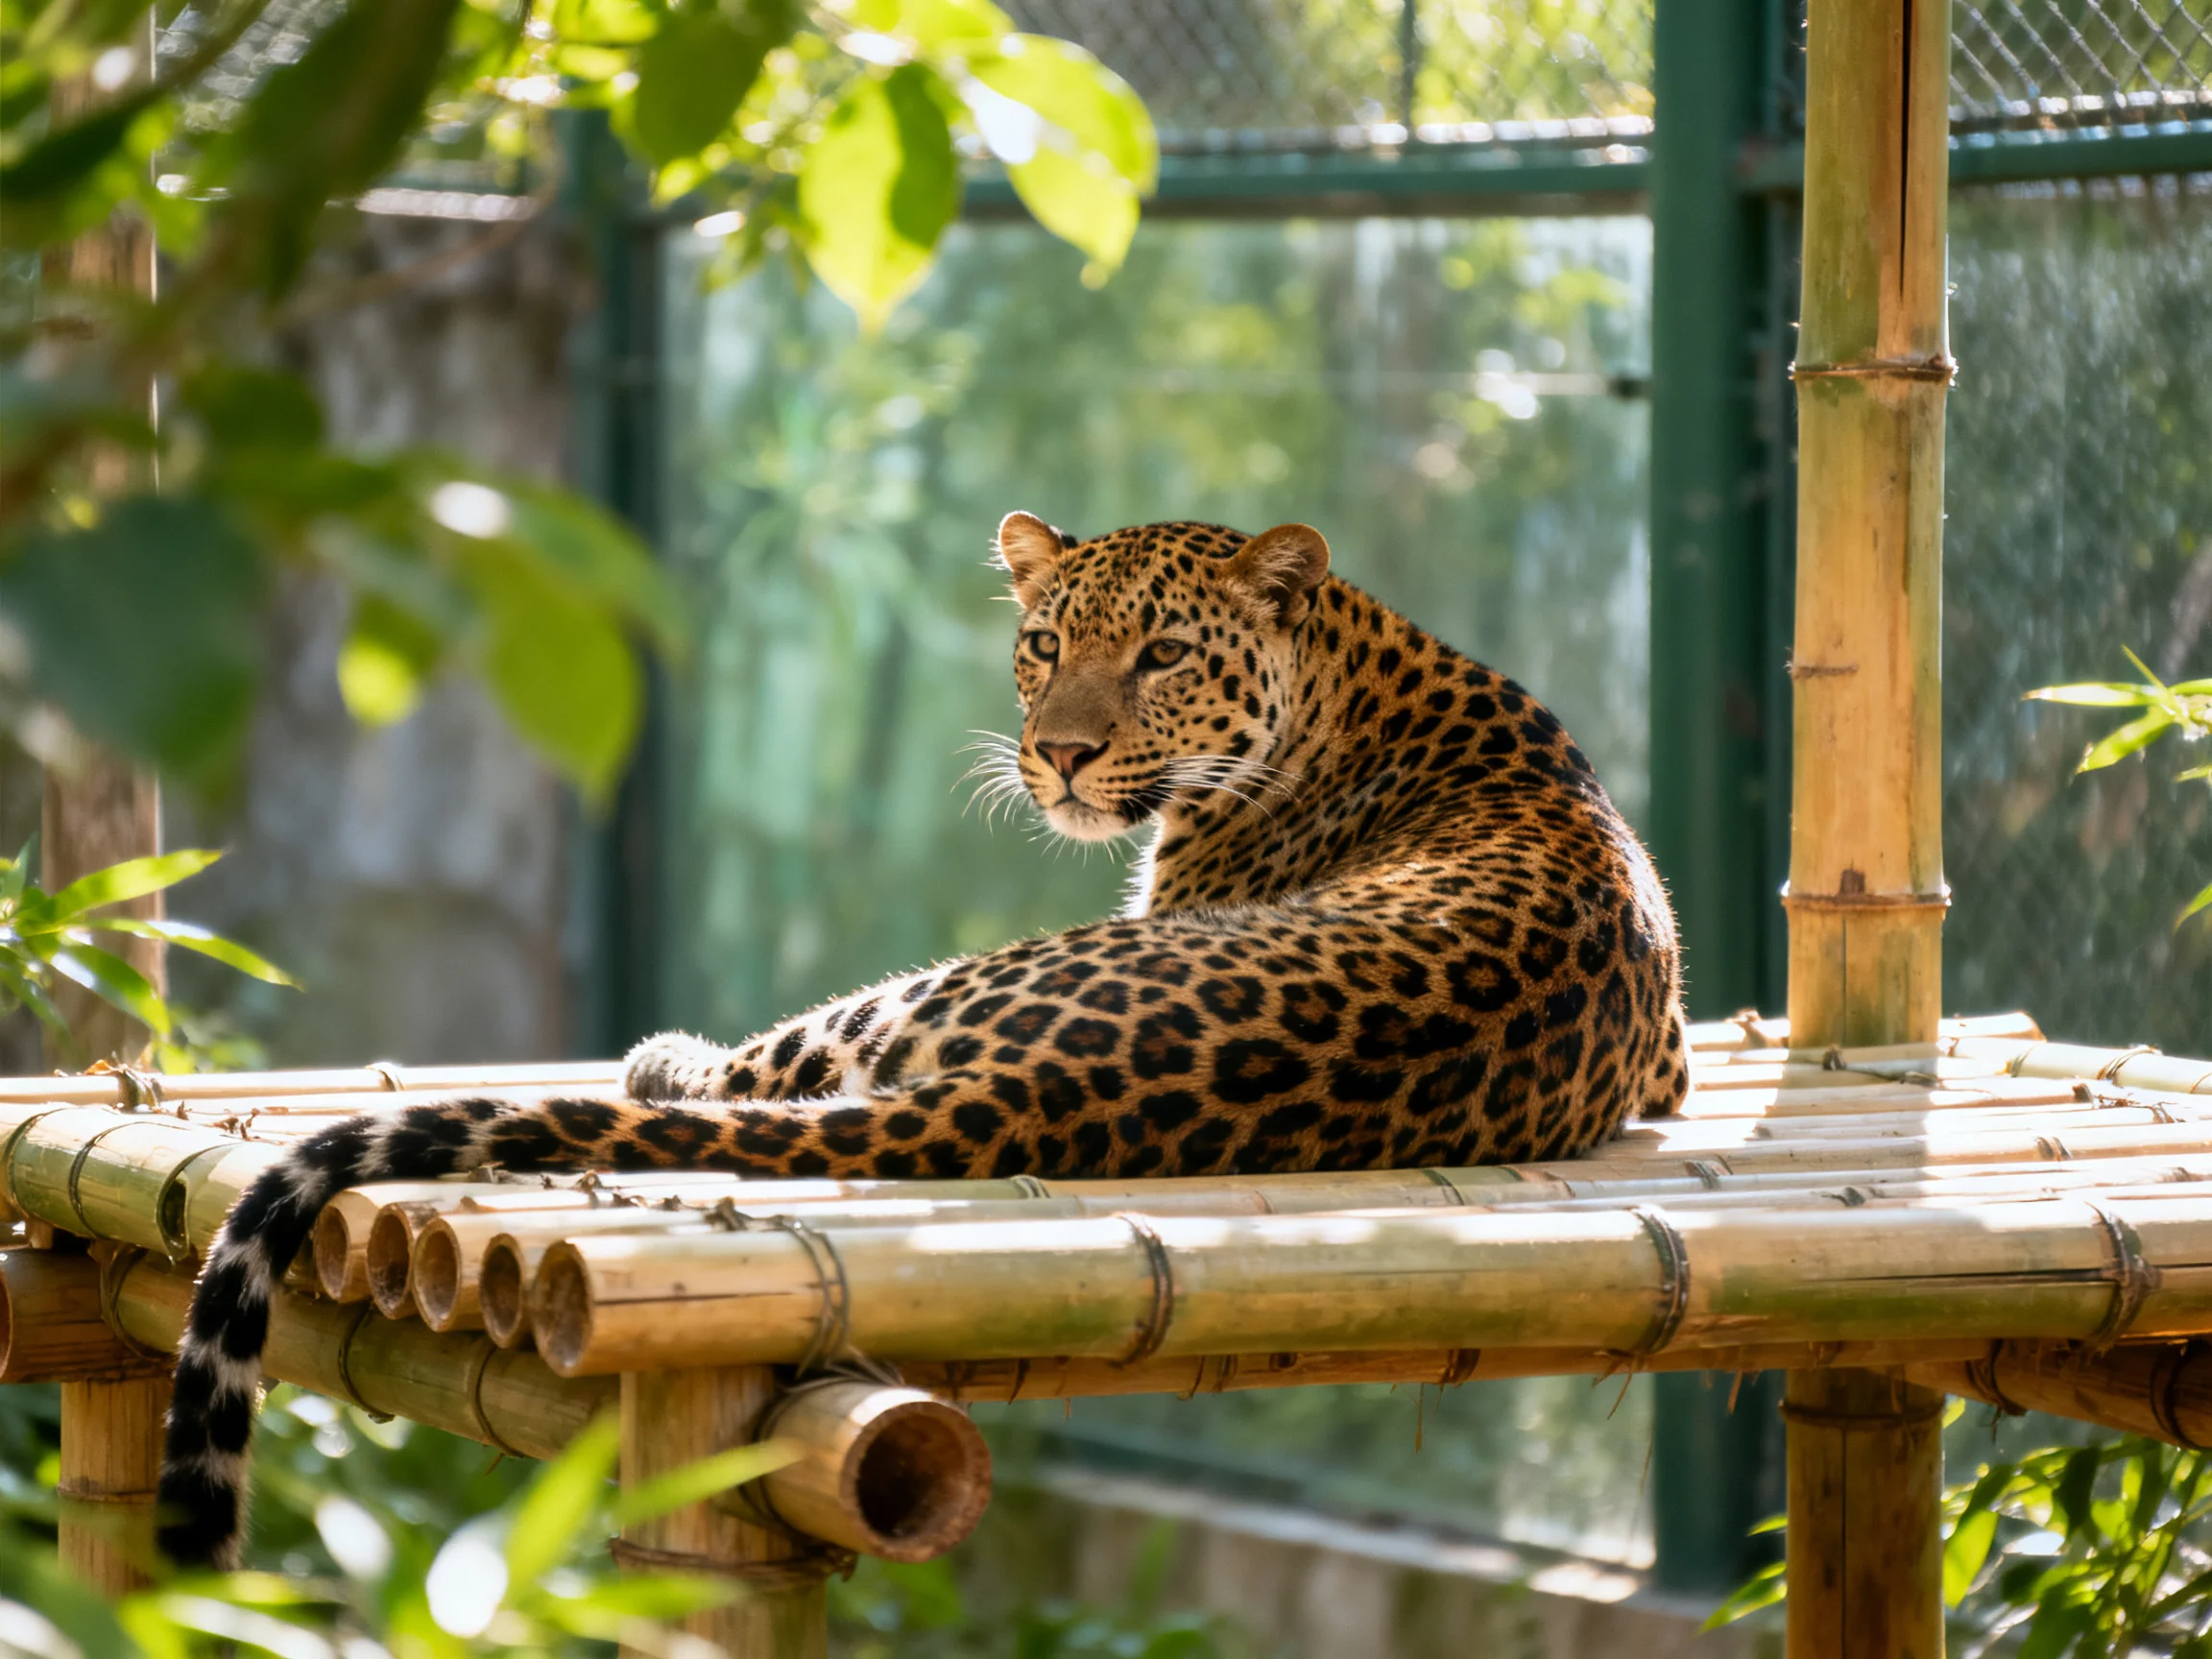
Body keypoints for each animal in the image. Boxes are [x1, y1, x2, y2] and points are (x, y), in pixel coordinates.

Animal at [157, 513, 1688, 1569]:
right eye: (1044, 645)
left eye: (1163, 656)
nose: (1061, 754)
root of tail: (1034, 1096)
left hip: (920, 991)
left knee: (760, 1067)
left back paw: (663, 1052)